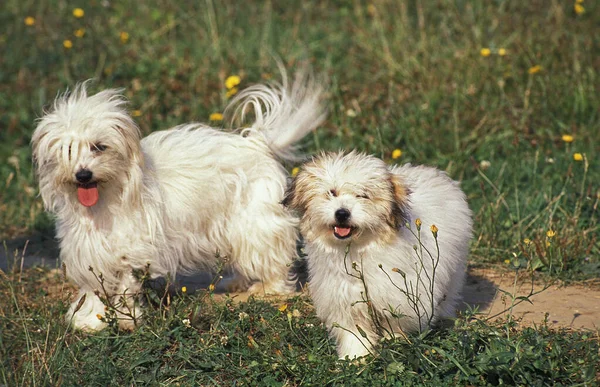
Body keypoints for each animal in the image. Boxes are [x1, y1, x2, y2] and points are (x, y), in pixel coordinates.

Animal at [31, 71, 326, 332]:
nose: (83, 175)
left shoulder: (132, 252)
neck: (106, 198)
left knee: (272, 261)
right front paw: (90, 320)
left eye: (99, 147)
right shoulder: (89, 251)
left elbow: (125, 287)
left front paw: (126, 319)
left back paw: (267, 288)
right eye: (67, 150)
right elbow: (93, 289)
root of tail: (255, 143)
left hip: (255, 224)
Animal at [282, 151, 474, 358]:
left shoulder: (398, 297)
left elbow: (395, 324)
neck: (357, 250)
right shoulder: (344, 298)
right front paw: (355, 357)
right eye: (332, 192)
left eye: (363, 195)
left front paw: (395, 344)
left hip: (454, 266)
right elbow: (354, 333)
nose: (342, 213)